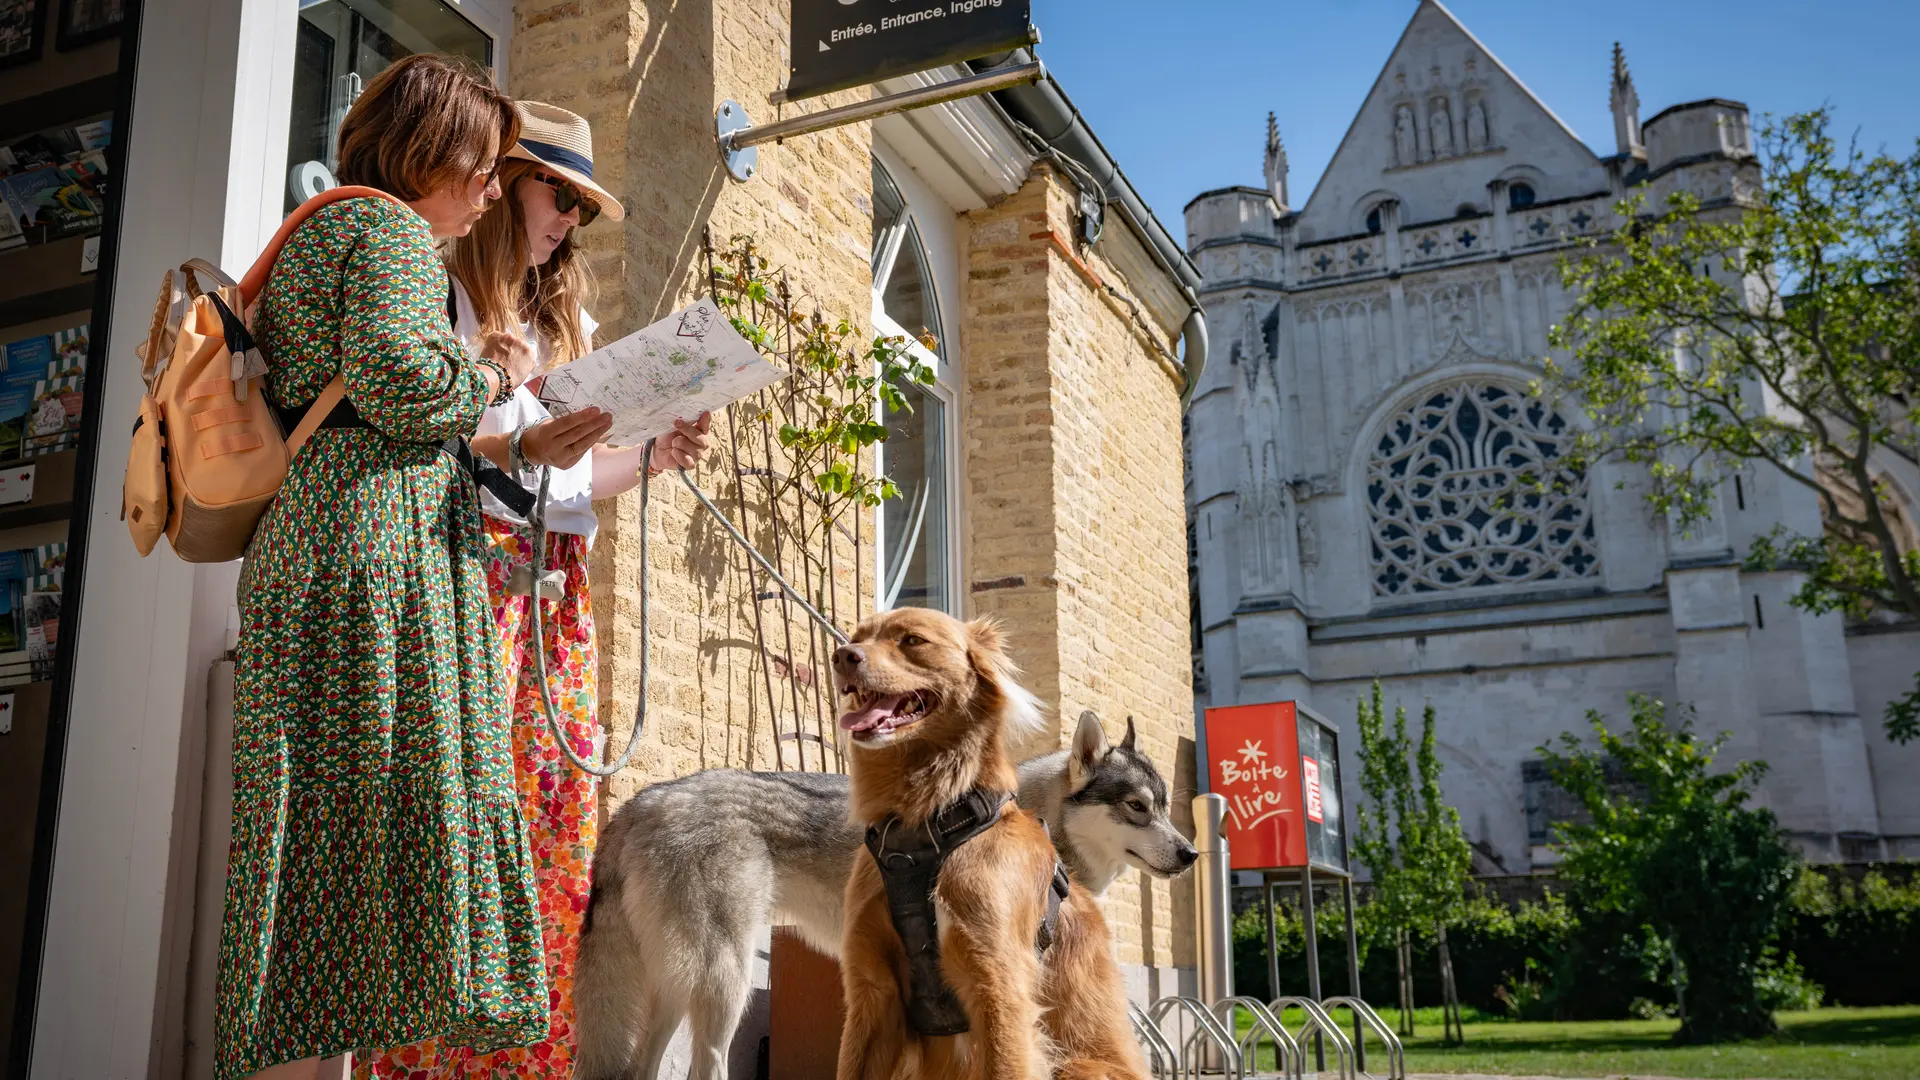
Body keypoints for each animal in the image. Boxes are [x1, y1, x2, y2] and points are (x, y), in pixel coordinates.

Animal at [576, 707, 1190, 1076]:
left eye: (1164, 807)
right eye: (1136, 807)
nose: (1190, 854)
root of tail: (643, 802)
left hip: (676, 992)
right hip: (726, 985)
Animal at [829, 611, 1152, 1080]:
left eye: (913, 640)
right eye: (856, 637)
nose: (842, 656)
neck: (922, 831)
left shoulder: (999, 987)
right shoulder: (871, 991)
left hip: (1079, 1066)